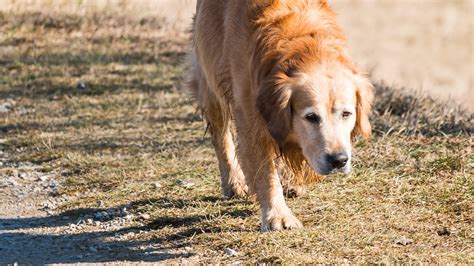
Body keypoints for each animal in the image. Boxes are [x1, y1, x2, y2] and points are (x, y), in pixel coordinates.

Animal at [187, 0, 372, 231]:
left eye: (347, 114)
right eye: (311, 117)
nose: (339, 160)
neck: (303, 45)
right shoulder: (250, 119)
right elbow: (266, 172)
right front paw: (278, 215)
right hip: (211, 78)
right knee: (221, 137)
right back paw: (233, 182)